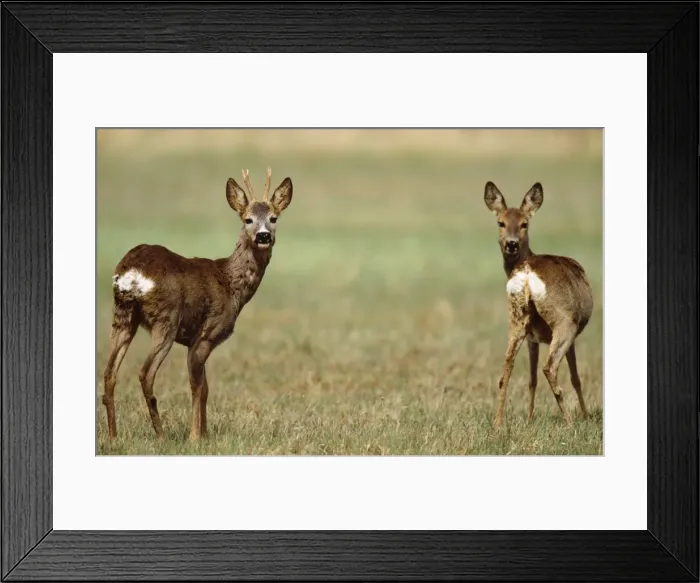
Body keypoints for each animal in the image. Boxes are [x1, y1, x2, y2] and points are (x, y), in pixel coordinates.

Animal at [102, 167, 293, 441]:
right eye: (247, 219)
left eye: (273, 218)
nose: (263, 235)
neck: (230, 284)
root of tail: (131, 272)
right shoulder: (205, 335)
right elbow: (197, 386)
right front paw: (194, 436)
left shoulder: (196, 340)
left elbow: (205, 388)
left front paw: (204, 433)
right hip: (166, 319)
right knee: (145, 373)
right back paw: (161, 434)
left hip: (123, 316)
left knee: (109, 373)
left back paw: (113, 435)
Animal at [483, 181, 593, 427]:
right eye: (500, 223)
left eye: (524, 223)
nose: (511, 244)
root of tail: (525, 273)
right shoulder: (571, 335)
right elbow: (576, 378)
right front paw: (586, 415)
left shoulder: (532, 338)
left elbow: (531, 379)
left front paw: (530, 418)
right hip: (565, 323)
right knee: (549, 368)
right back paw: (569, 421)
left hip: (517, 318)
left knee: (506, 369)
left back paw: (498, 423)